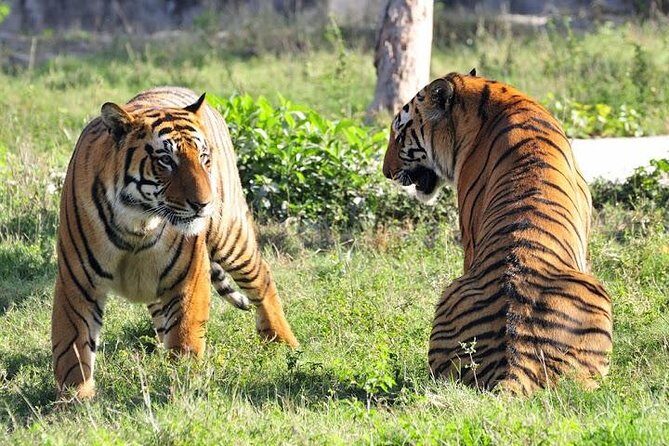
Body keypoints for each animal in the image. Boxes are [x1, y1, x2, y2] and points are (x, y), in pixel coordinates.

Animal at [53, 87, 298, 399]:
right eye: (166, 161)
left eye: (203, 157)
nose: (204, 204)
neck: (138, 221)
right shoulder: (77, 282)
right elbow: (72, 347)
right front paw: (74, 399)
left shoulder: (188, 277)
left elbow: (185, 338)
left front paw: (182, 386)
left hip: (230, 235)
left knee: (261, 276)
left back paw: (284, 343)